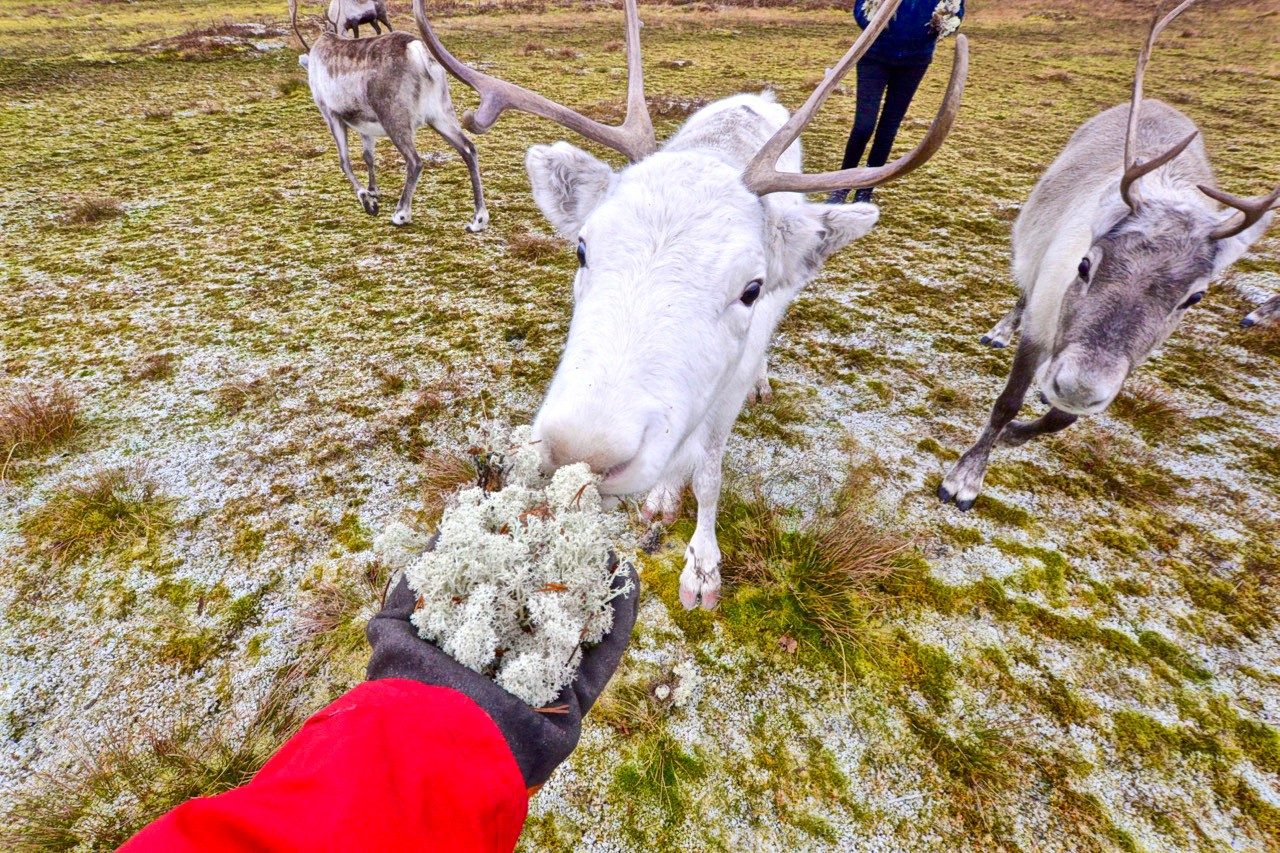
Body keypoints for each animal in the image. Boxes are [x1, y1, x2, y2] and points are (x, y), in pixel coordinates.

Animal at [290, 0, 488, 231]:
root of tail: (417, 49)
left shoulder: (330, 113)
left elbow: (344, 161)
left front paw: (367, 200)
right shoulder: (364, 125)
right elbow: (368, 156)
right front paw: (373, 190)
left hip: (394, 117)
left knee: (415, 161)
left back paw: (401, 214)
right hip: (441, 112)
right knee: (469, 148)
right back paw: (478, 219)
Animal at [414, 0, 969, 608]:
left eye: (751, 288)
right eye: (582, 247)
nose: (585, 450)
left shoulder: (729, 380)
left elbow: (709, 472)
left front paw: (703, 569)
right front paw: (661, 497)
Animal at [939, 0, 1278, 512]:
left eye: (1194, 298)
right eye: (1085, 264)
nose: (1079, 387)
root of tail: (1158, 102)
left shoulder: (1122, 367)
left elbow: (1062, 422)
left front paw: (1019, 434)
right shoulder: (1041, 322)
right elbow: (1007, 400)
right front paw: (965, 478)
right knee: (1022, 290)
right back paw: (1001, 332)